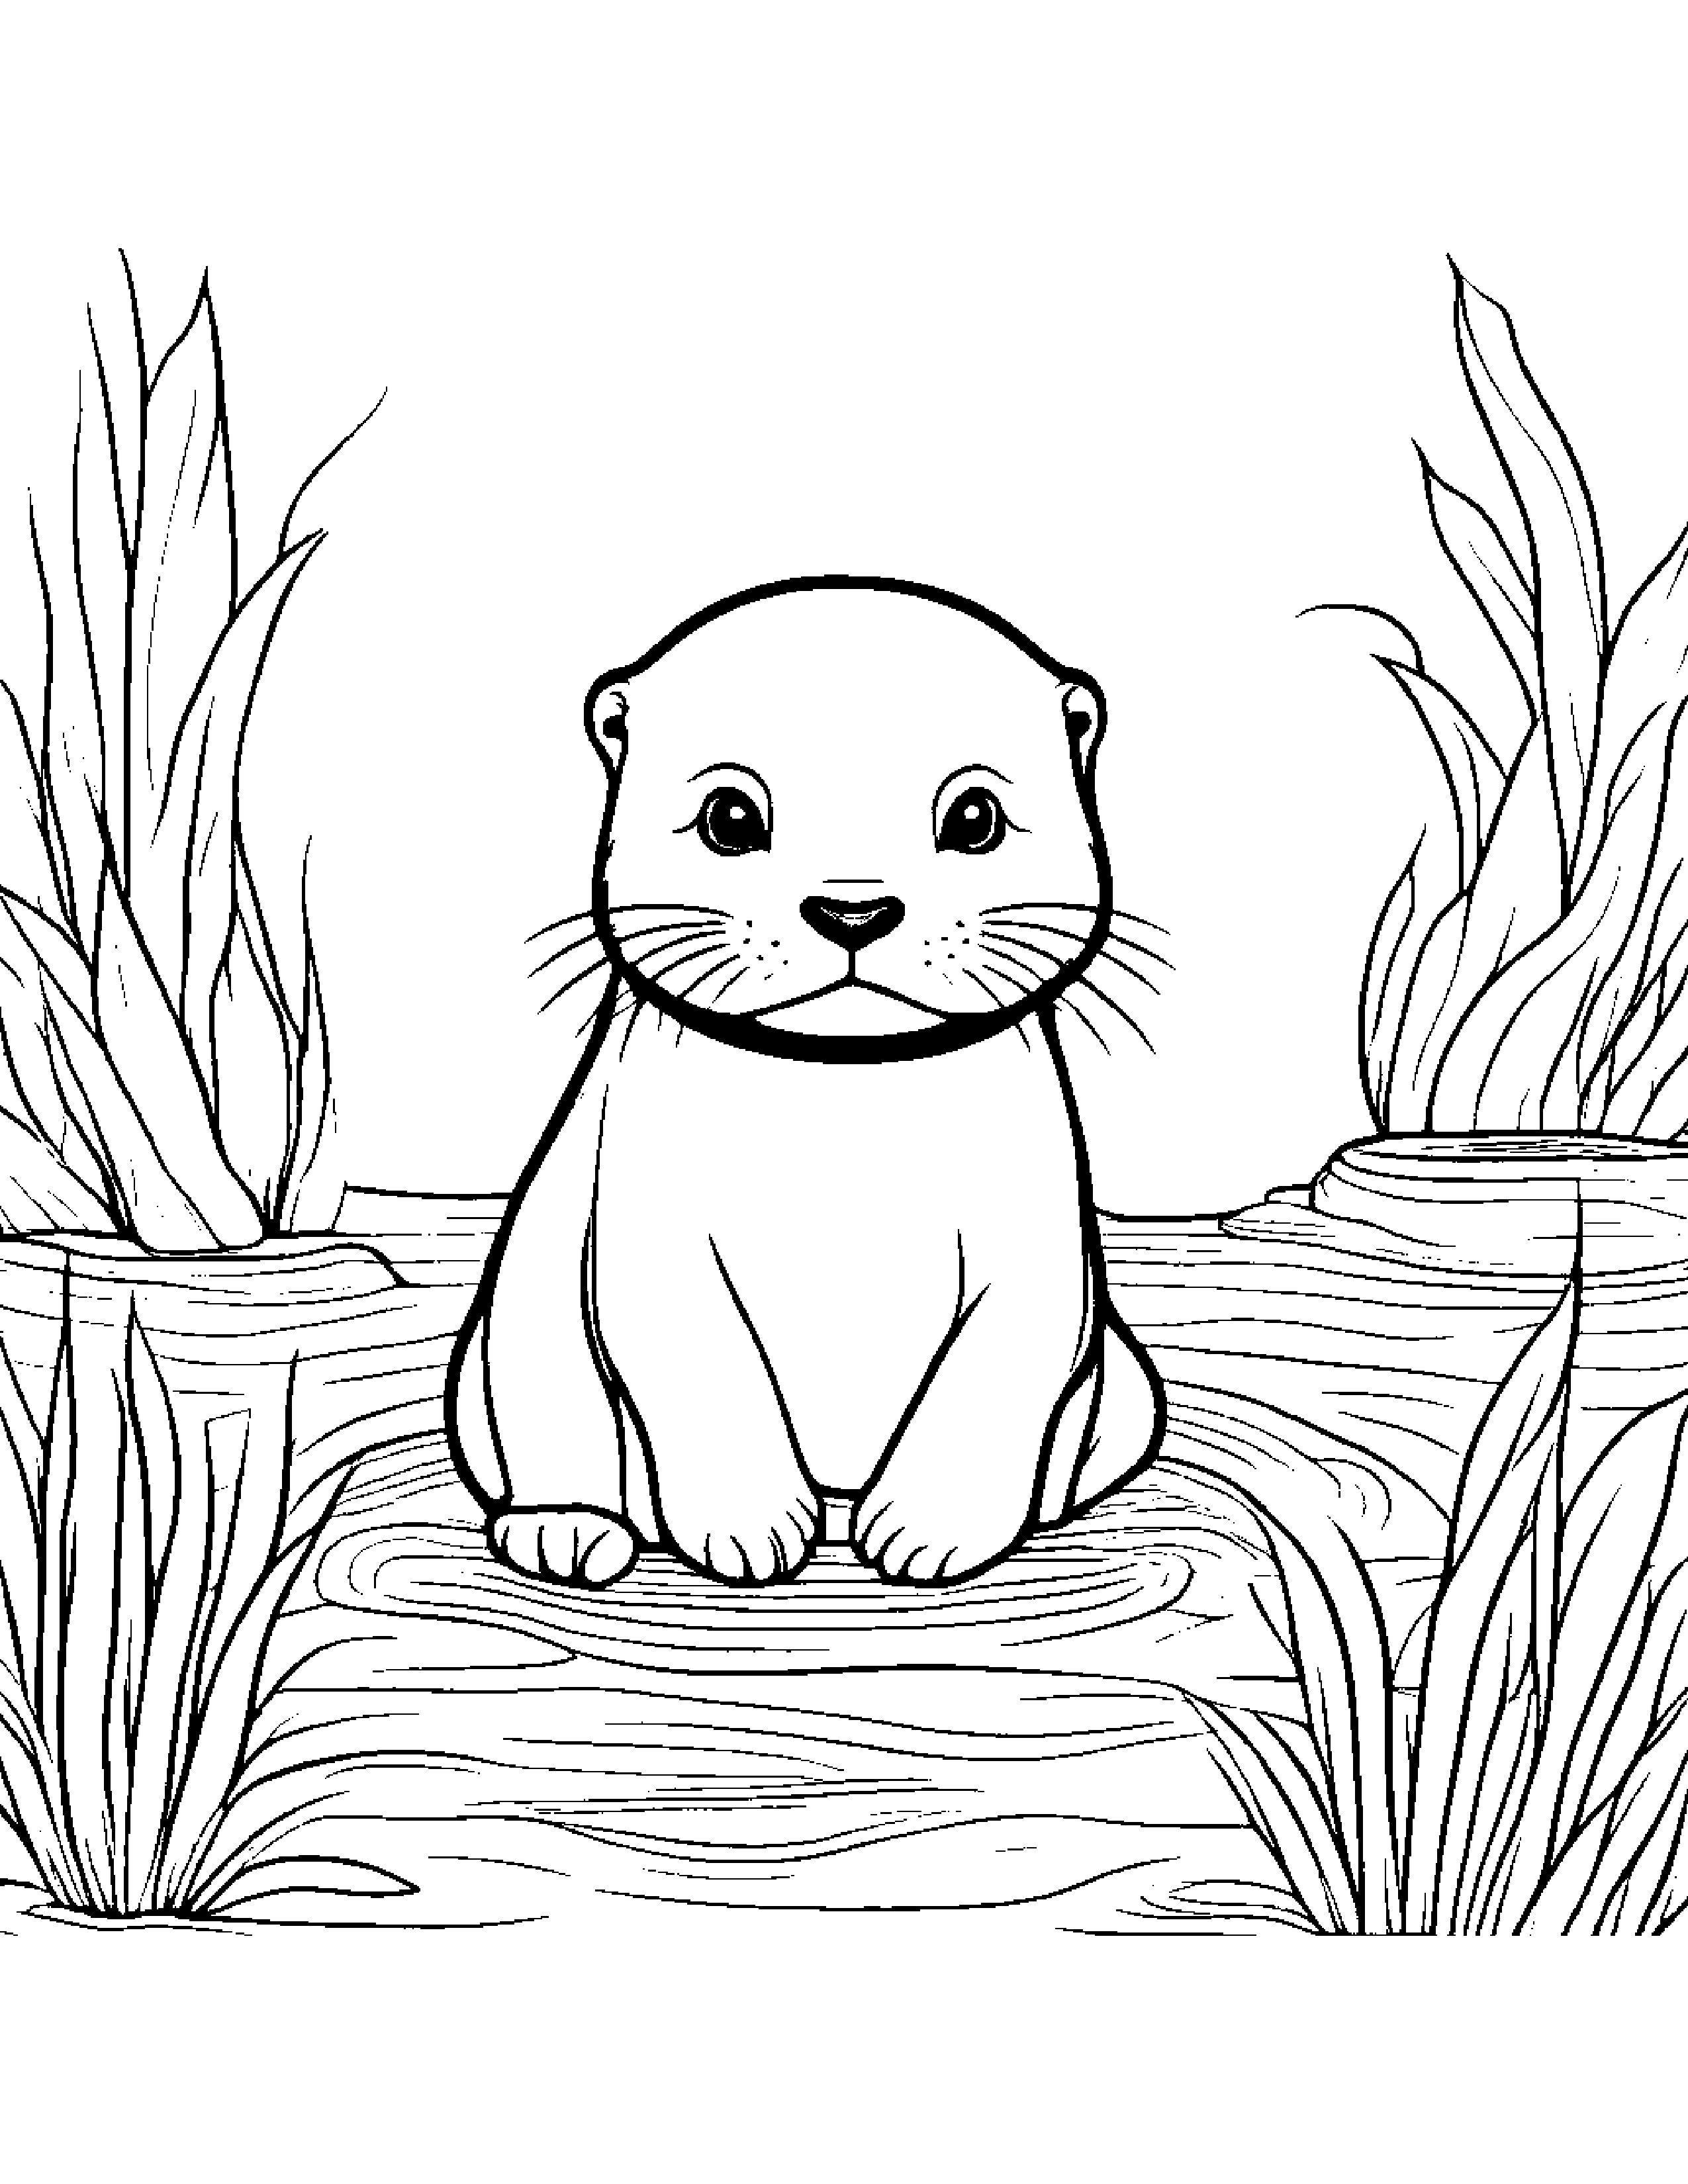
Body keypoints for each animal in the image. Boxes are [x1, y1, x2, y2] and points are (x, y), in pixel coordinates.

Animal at [446, 577, 1166, 1588]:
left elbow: (1001, 1356)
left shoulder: (1035, 1221)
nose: (852, 909)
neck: (838, 1103)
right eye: (730, 818)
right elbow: (699, 1352)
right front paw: (747, 1525)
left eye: (974, 818)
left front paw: (931, 1528)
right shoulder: (648, 1219)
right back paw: (568, 1528)